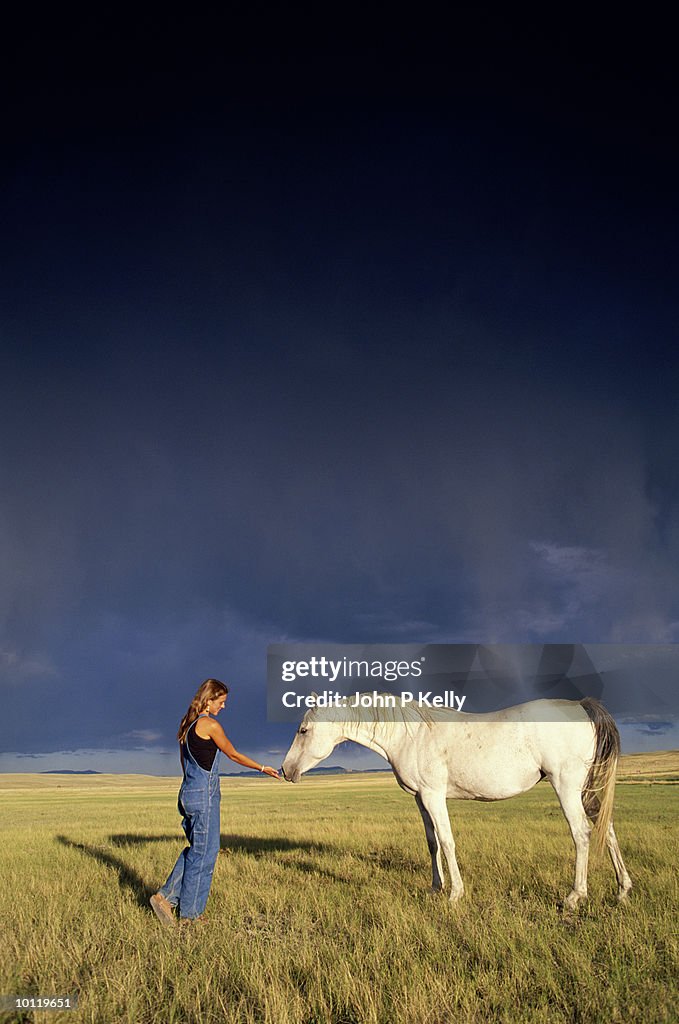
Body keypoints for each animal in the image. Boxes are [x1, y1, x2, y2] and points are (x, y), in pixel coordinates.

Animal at [280, 696, 630, 905]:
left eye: (303, 730)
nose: (285, 770)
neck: (411, 735)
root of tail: (581, 706)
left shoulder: (434, 796)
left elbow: (448, 842)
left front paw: (455, 895)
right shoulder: (420, 799)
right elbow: (432, 843)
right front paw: (436, 888)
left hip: (566, 786)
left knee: (582, 834)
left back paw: (575, 895)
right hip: (585, 790)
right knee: (608, 829)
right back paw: (622, 889)